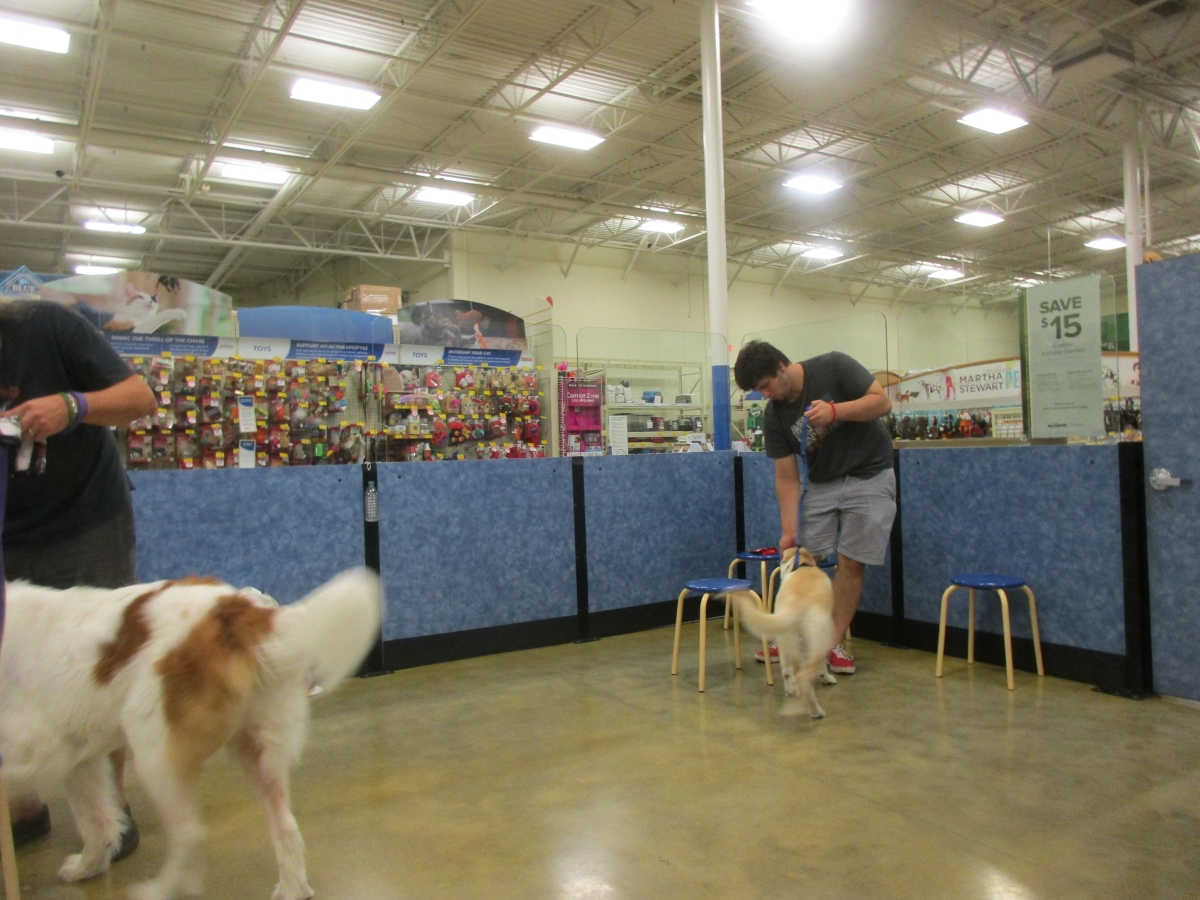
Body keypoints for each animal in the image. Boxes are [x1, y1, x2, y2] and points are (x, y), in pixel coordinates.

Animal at [0, 568, 381, 900]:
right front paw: (88, 867)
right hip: (258, 749)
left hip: (154, 752)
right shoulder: (80, 758)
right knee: (285, 826)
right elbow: (96, 822)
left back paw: (160, 890)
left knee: (190, 834)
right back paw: (291, 890)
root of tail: (236, 610)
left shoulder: (34, 747)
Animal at [736, 548, 837, 718]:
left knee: (788, 672)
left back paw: (791, 691)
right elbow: (823, 665)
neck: (803, 566)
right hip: (818, 639)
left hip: (785, 639)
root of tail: (795, 604)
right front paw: (827, 677)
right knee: (805, 676)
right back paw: (816, 712)